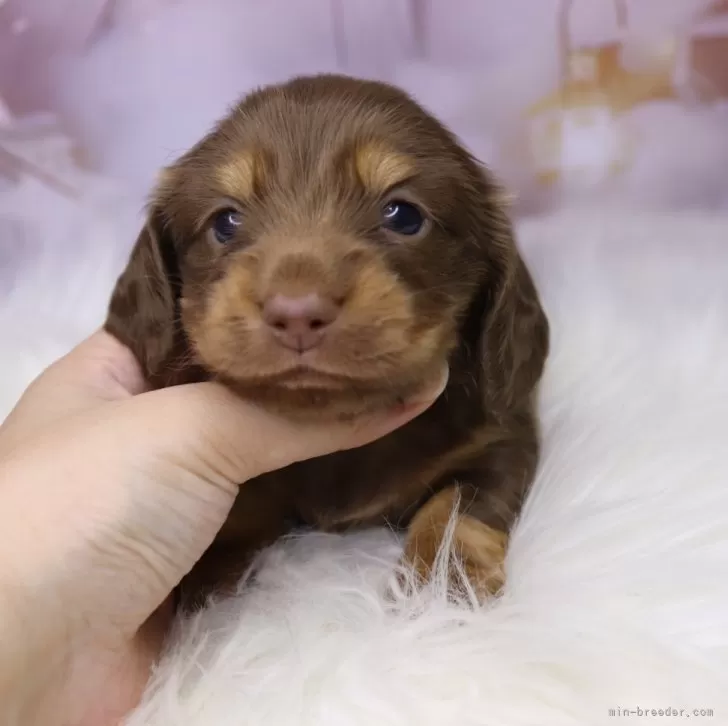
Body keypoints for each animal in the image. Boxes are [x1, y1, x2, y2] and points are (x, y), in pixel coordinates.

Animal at [105, 74, 548, 608]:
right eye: (225, 222)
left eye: (403, 215)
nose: (297, 314)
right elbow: (240, 510)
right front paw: (207, 587)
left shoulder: (501, 437)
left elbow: (458, 506)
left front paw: (440, 588)